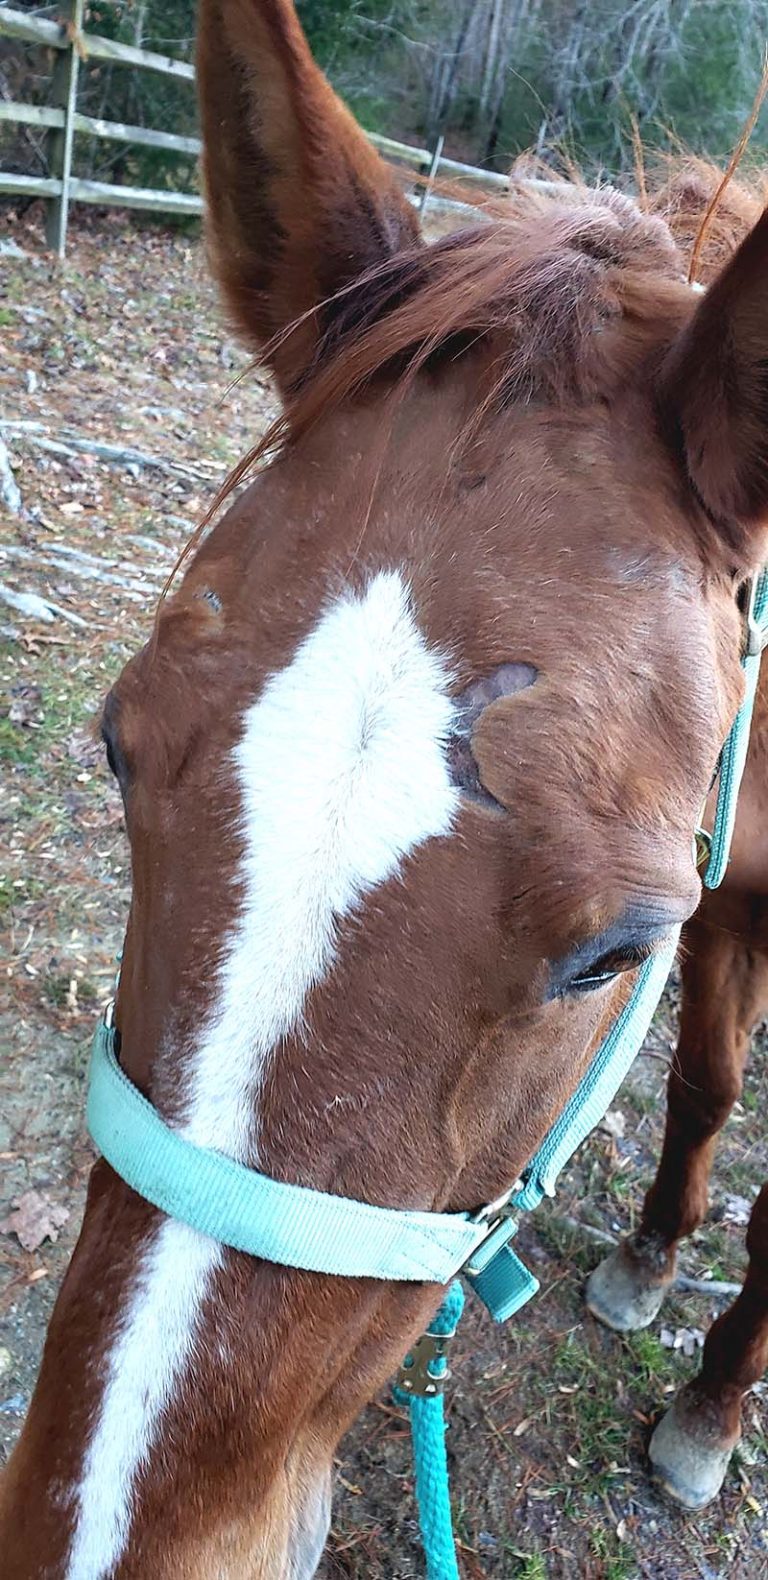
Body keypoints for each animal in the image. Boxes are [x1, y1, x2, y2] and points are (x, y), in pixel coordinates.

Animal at [2, 2, 768, 1574]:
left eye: (617, 949)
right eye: (118, 746)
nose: (96, 1544)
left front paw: (710, 1412)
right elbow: (706, 1081)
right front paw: (655, 1260)